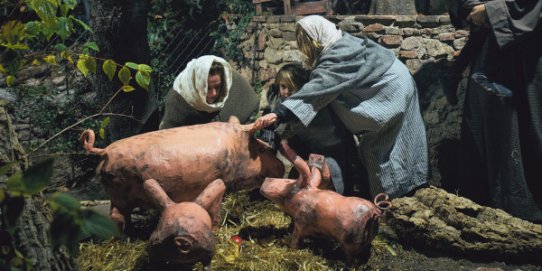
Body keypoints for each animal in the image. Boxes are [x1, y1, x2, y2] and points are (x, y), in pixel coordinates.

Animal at [82, 119, 284, 232]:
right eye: (263, 149)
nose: (282, 167)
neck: (235, 152)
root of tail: (105, 152)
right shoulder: (220, 181)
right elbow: (215, 211)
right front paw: (216, 229)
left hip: (115, 195)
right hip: (121, 193)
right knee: (118, 217)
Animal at [262, 142, 394, 266]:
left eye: (290, 184)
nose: (266, 180)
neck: (302, 199)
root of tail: (374, 212)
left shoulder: (301, 221)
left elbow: (296, 238)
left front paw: (291, 249)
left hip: (351, 242)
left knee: (351, 259)